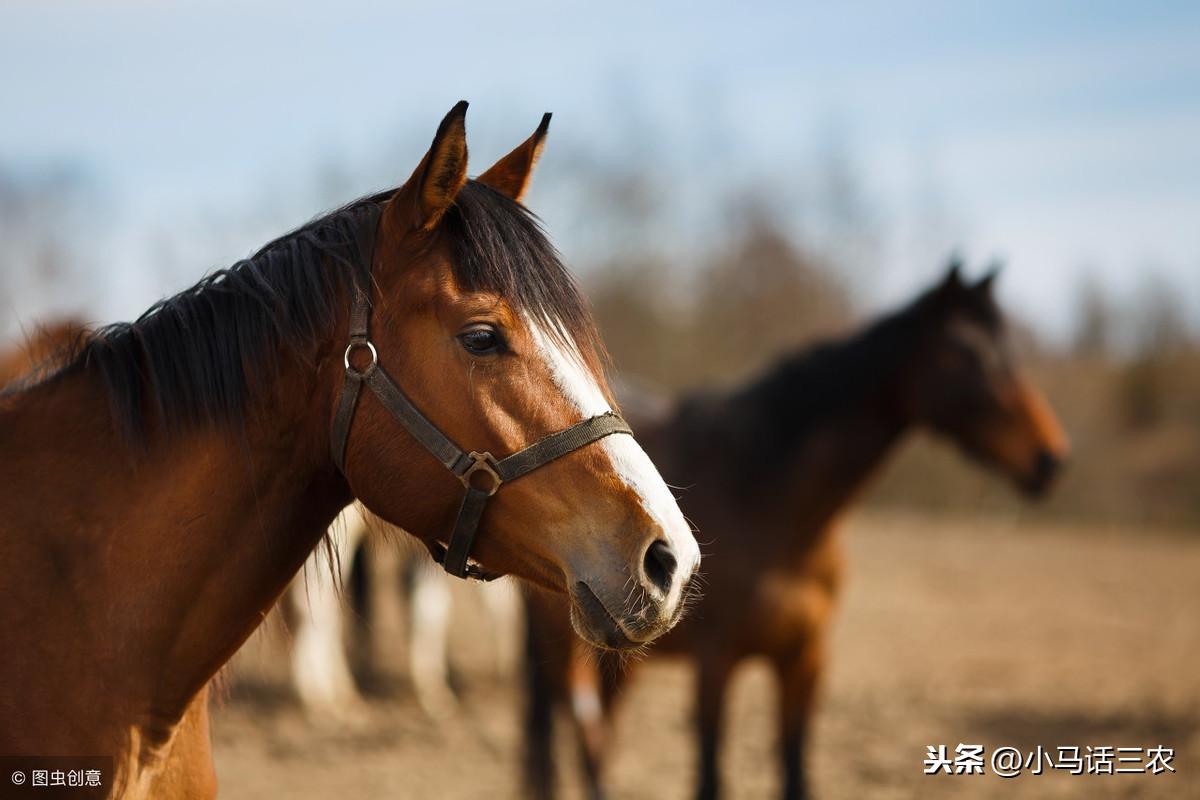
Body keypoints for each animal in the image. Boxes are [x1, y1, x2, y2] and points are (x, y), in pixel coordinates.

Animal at [525, 263, 1070, 800]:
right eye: (963, 351)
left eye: (1010, 350)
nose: (1050, 459)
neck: (774, 504)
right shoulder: (715, 665)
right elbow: (710, 779)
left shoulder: (803, 664)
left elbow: (794, 775)